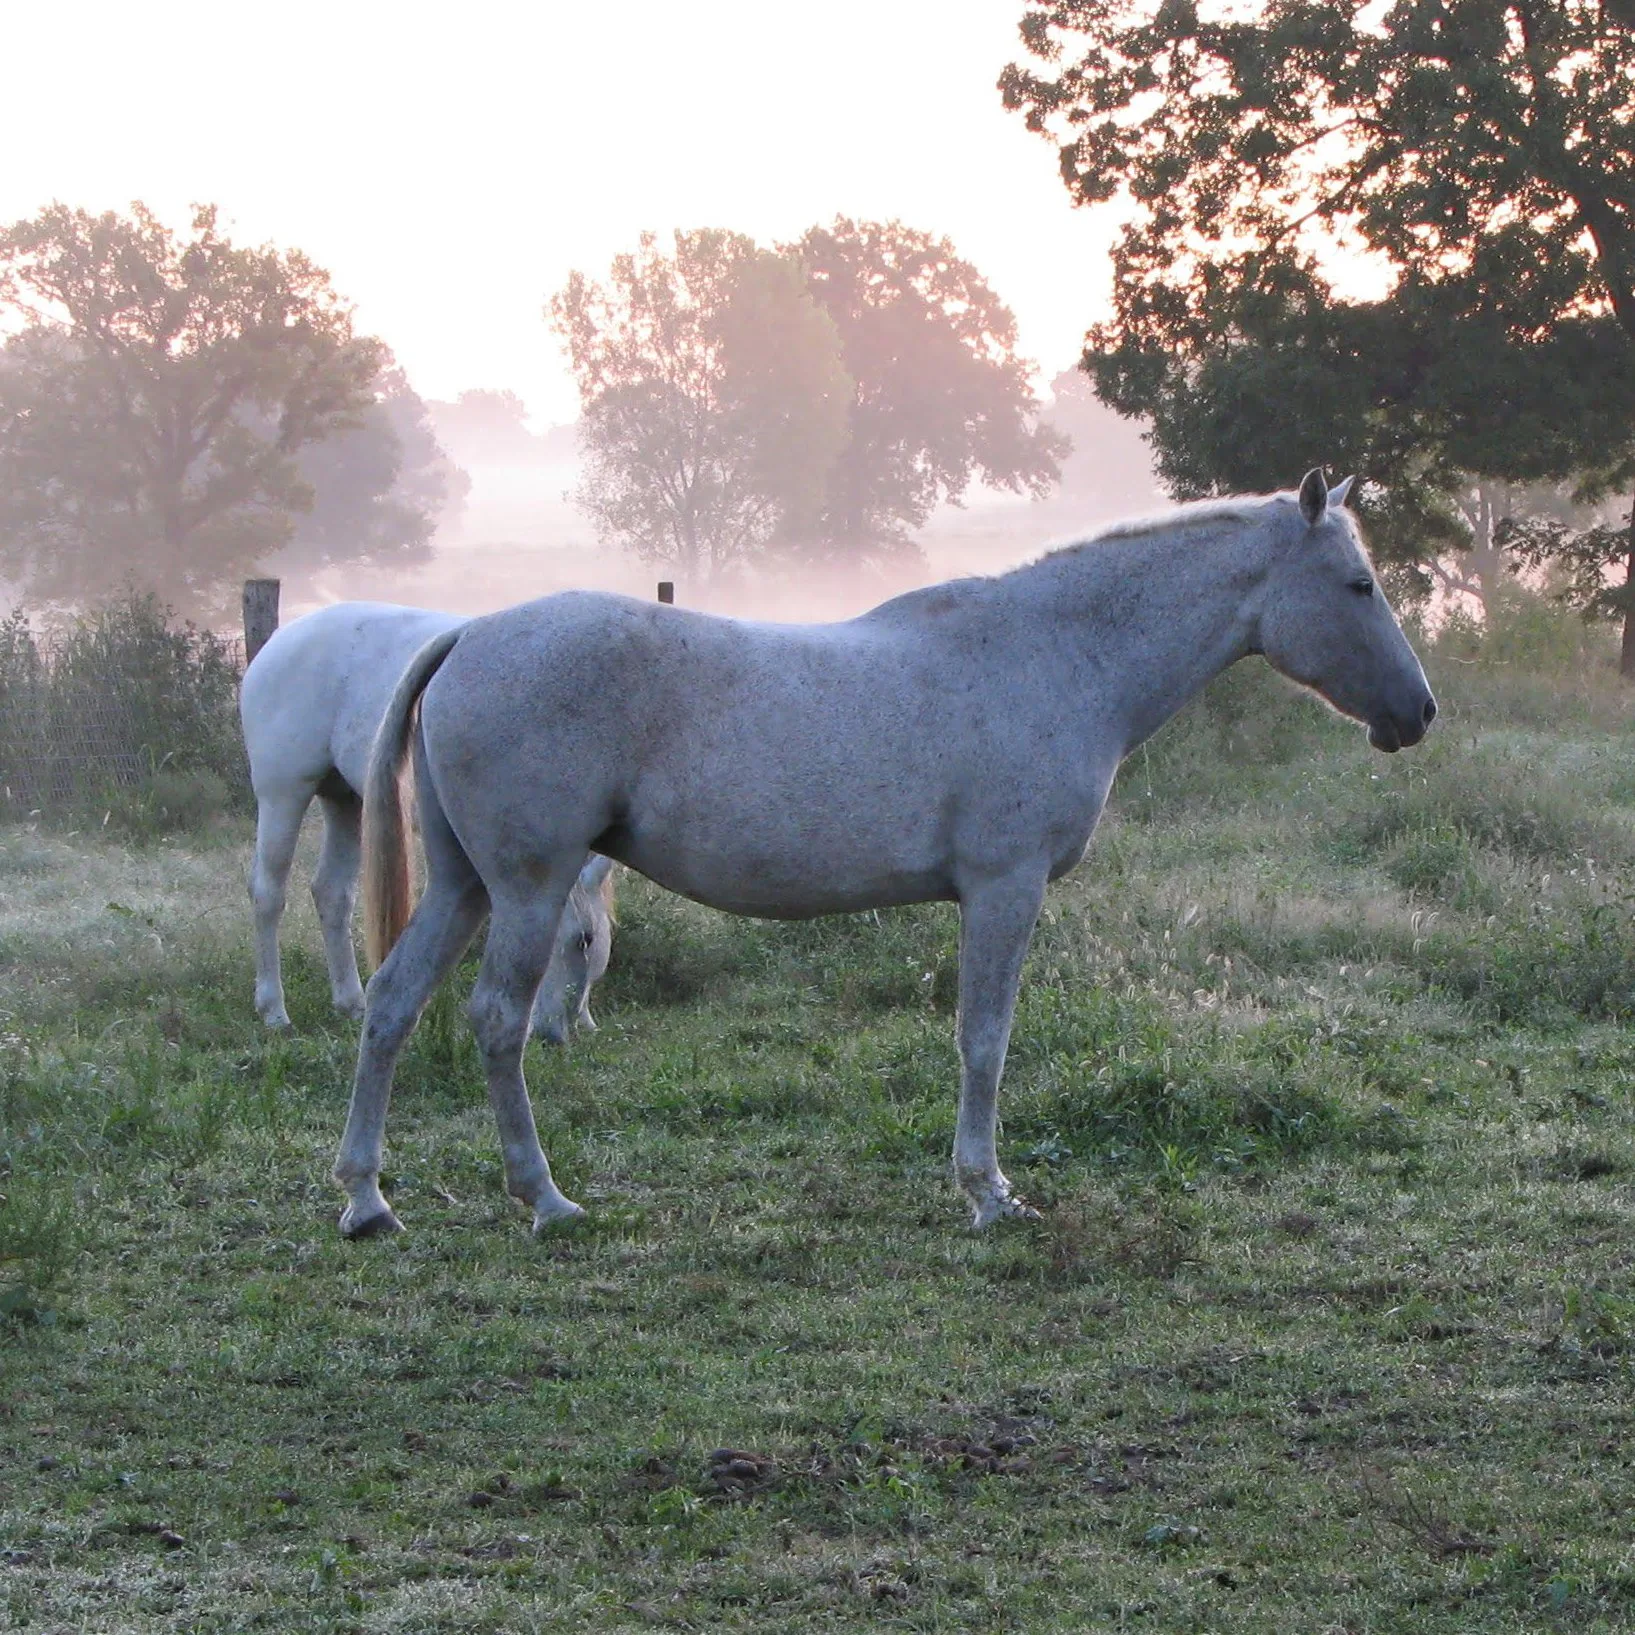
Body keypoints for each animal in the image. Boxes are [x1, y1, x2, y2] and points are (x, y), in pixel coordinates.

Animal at [243, 608, 618, 1039]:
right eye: (582, 940)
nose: (554, 1033)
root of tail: (279, 641)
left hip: (345, 802)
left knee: (332, 893)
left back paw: (352, 1002)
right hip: (283, 795)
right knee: (268, 894)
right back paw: (274, 1010)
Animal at [328, 474, 1432, 1236]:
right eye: (1358, 583)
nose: (1417, 712)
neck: (1060, 655)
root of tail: (471, 635)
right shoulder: (1002, 889)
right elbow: (983, 1040)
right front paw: (988, 1192)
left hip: (466, 887)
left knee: (392, 1004)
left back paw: (366, 1199)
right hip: (527, 888)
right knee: (495, 1021)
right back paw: (544, 1198)